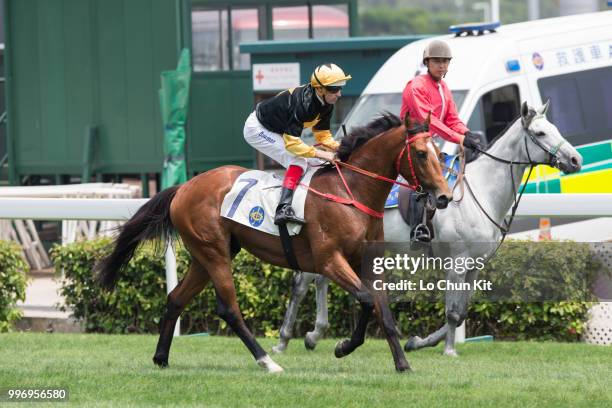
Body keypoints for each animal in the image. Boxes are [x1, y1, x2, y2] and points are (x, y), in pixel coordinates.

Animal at [94, 112, 450, 372]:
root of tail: (183, 187)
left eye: (439, 153)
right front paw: (342, 347)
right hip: (214, 252)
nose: (444, 196)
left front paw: (402, 364)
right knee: (228, 308)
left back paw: (161, 358)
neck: (350, 192)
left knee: (175, 298)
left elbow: (383, 312)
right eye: (421, 154)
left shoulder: (369, 261)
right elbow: (364, 300)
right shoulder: (328, 261)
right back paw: (267, 361)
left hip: (205, 254)